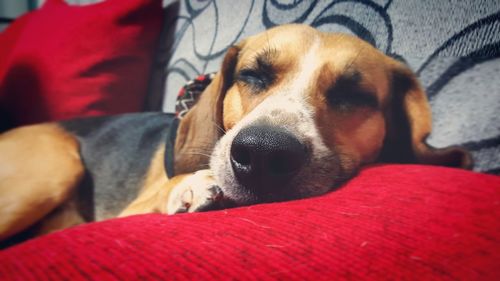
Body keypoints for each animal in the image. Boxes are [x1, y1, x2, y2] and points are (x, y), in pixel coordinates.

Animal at [0, 24, 470, 243]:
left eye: (352, 95)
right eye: (252, 75)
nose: (263, 154)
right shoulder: (129, 210)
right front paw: (192, 184)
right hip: (55, 163)